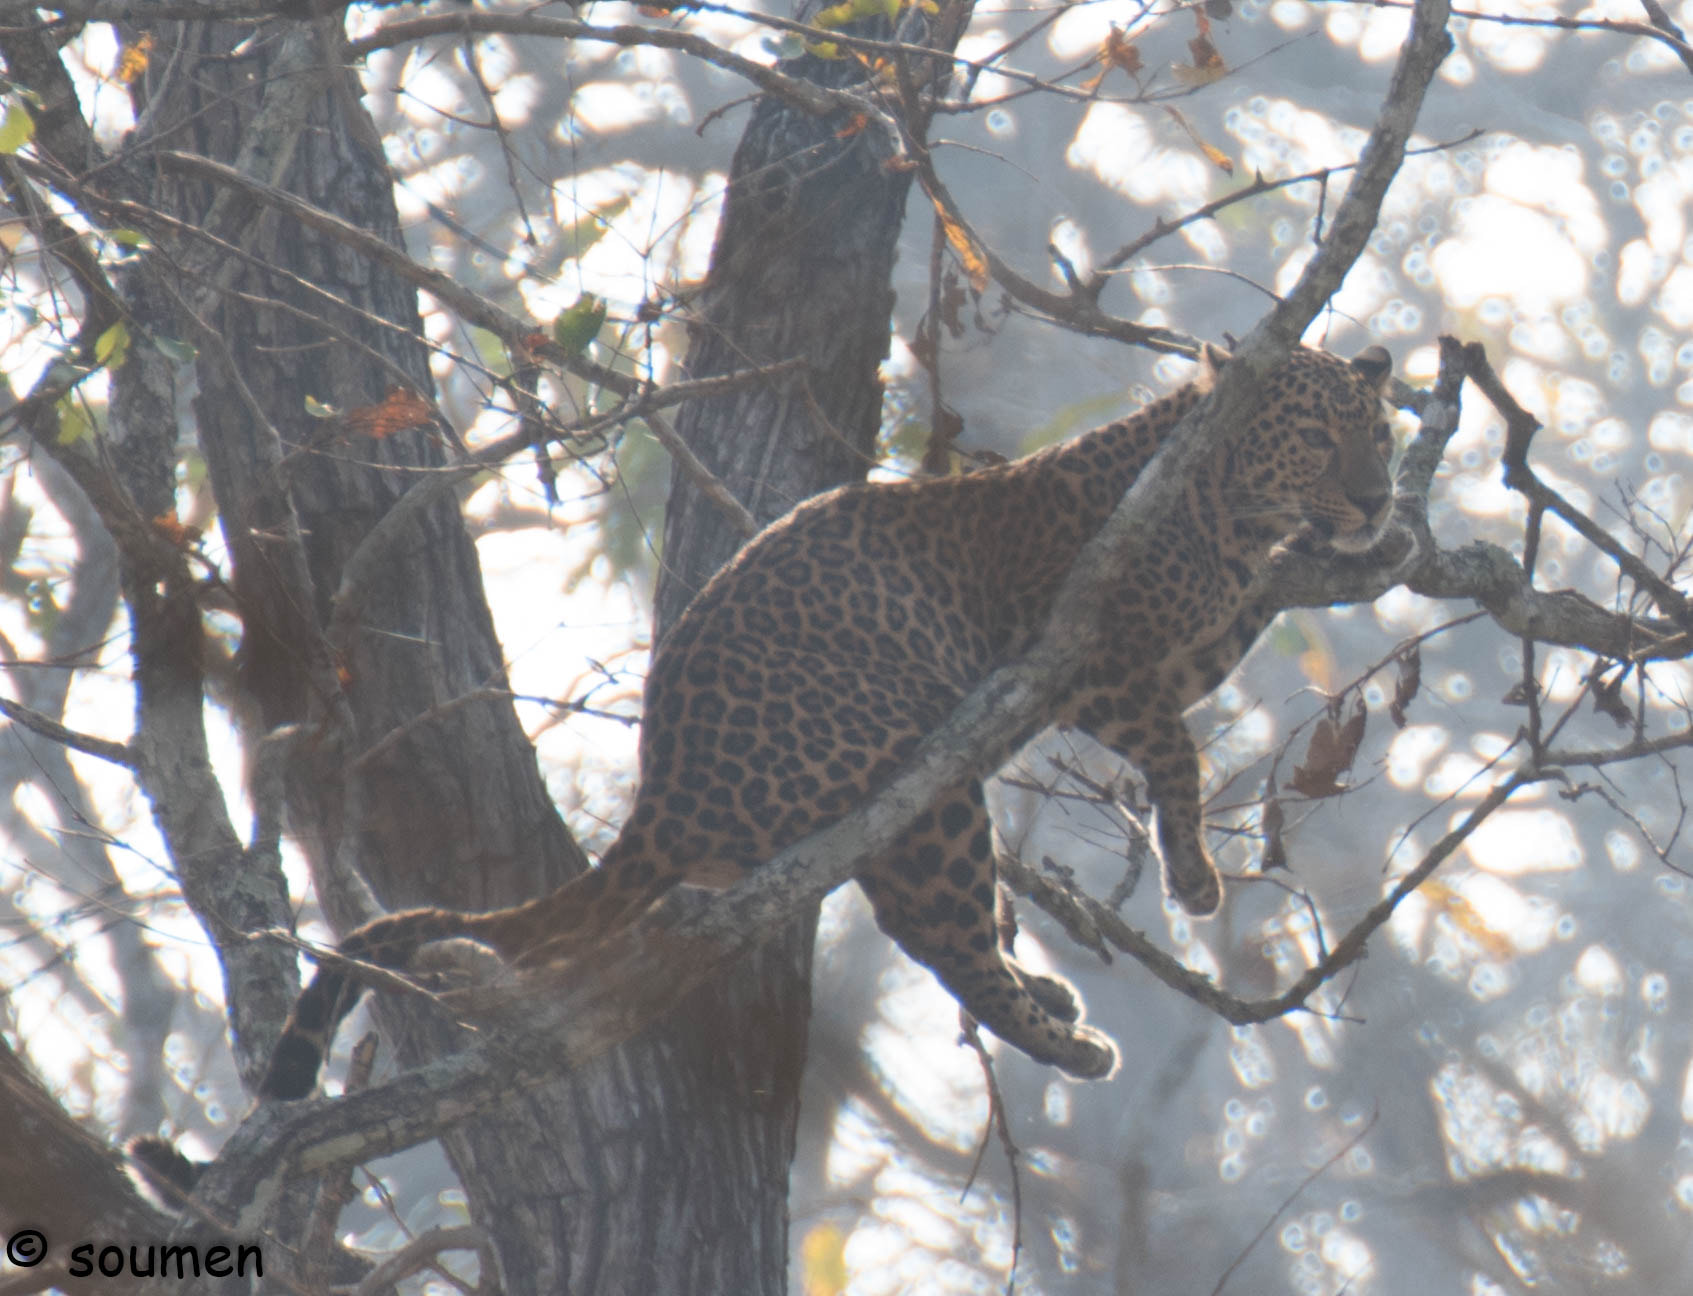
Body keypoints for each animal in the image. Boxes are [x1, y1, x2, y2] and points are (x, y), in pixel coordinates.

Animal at [260, 343, 1395, 1098]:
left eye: (1379, 436)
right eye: (1315, 439)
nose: (1379, 498)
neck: (1219, 505)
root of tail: (660, 799)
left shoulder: (1194, 642)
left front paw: (1376, 546)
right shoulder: (1092, 656)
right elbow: (1177, 748)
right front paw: (1194, 876)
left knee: (932, 923)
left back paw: (1050, 999)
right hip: (920, 768)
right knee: (940, 934)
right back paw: (1065, 1041)